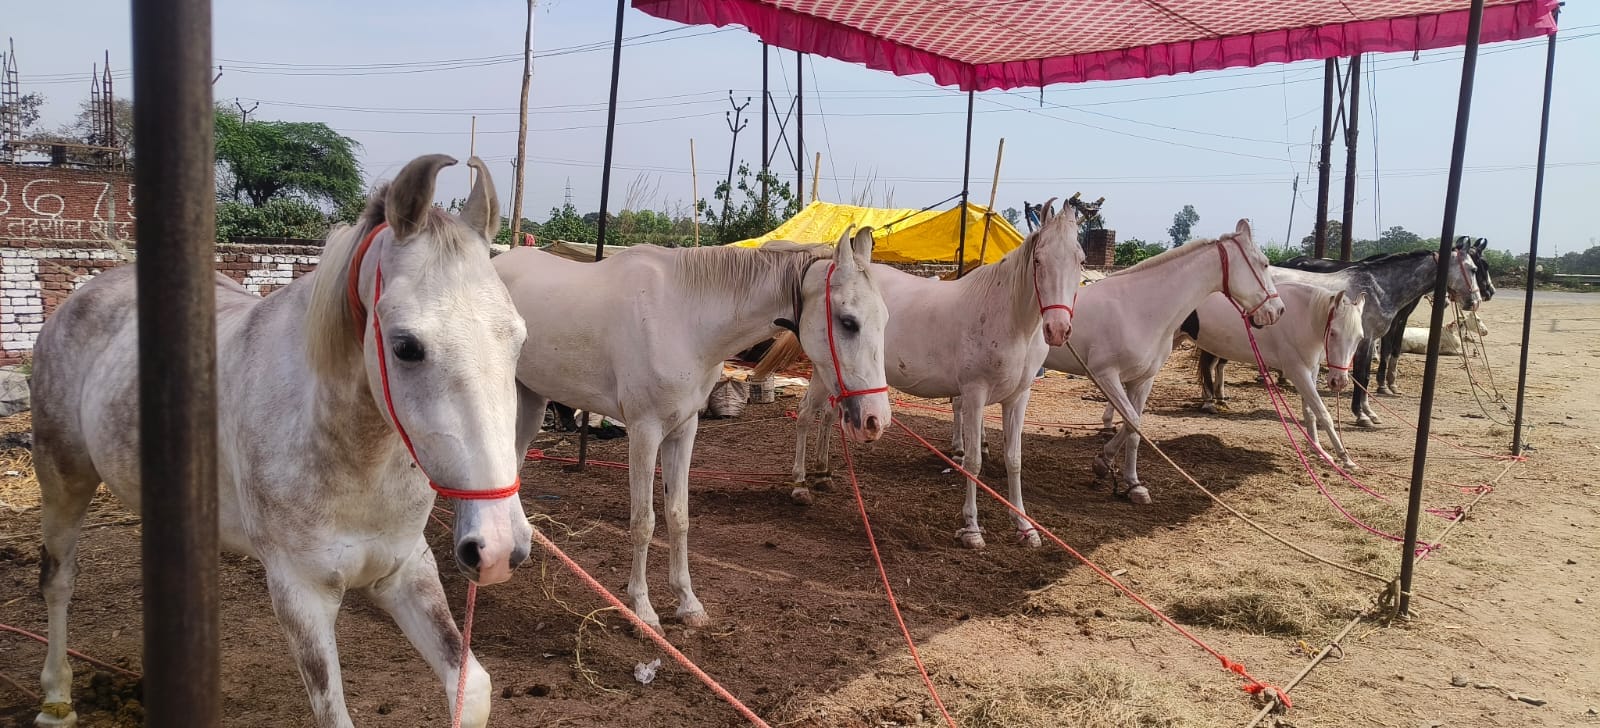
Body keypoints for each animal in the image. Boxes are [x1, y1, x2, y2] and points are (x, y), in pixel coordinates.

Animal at [29, 155, 531, 728]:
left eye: (519, 339)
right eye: (406, 347)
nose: (498, 546)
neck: (348, 453)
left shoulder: (406, 570)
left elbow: (472, 689)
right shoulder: (302, 594)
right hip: (63, 480)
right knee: (58, 580)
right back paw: (56, 699)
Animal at [492, 228, 890, 630]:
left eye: (884, 319)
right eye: (848, 321)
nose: (876, 419)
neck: (684, 319)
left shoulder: (684, 430)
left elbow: (678, 516)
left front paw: (688, 603)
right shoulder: (644, 432)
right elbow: (644, 522)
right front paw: (642, 609)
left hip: (531, 399)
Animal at [758, 200, 1084, 548]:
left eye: (1080, 260)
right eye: (1038, 260)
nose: (1057, 329)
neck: (1010, 318)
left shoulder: (1018, 396)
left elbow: (1014, 459)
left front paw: (1025, 527)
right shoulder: (974, 394)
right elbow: (973, 462)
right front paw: (972, 529)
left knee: (830, 416)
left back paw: (823, 474)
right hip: (824, 371)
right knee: (807, 414)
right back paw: (800, 484)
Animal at [1042, 219, 1285, 505]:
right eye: (1264, 264)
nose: (1278, 310)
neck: (1138, 307)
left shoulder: (1142, 380)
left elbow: (1133, 426)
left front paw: (1126, 480)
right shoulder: (1105, 375)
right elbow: (1133, 421)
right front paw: (1108, 466)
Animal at [1180, 281, 1368, 467]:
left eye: (1359, 338)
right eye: (1333, 332)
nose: (1339, 382)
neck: (1303, 317)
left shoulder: (1311, 369)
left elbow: (1310, 411)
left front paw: (1318, 450)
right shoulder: (1297, 371)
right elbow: (1322, 413)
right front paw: (1345, 458)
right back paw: (1209, 403)